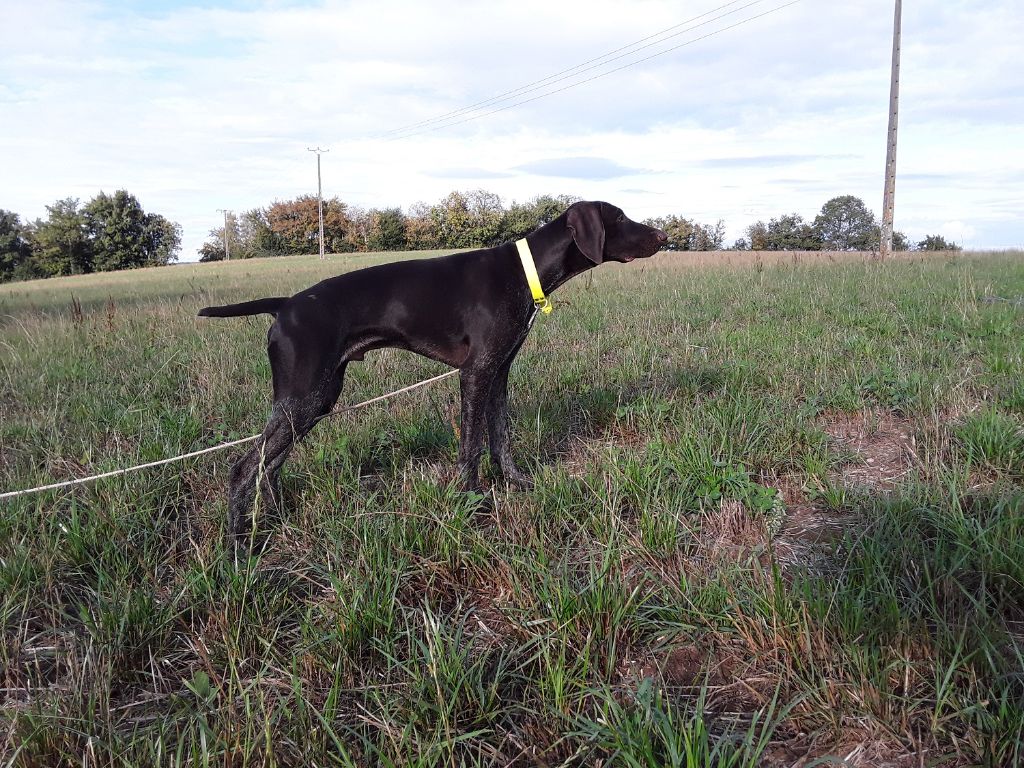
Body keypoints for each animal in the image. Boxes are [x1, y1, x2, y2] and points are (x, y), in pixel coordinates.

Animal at [196, 201, 667, 544]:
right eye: (619, 217)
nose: (664, 237)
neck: (526, 270)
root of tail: (285, 305)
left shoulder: (498, 374)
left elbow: (501, 439)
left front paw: (516, 483)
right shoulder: (475, 374)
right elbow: (471, 447)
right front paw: (472, 502)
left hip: (313, 401)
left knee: (269, 466)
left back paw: (272, 520)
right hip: (304, 398)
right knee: (244, 468)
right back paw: (239, 543)